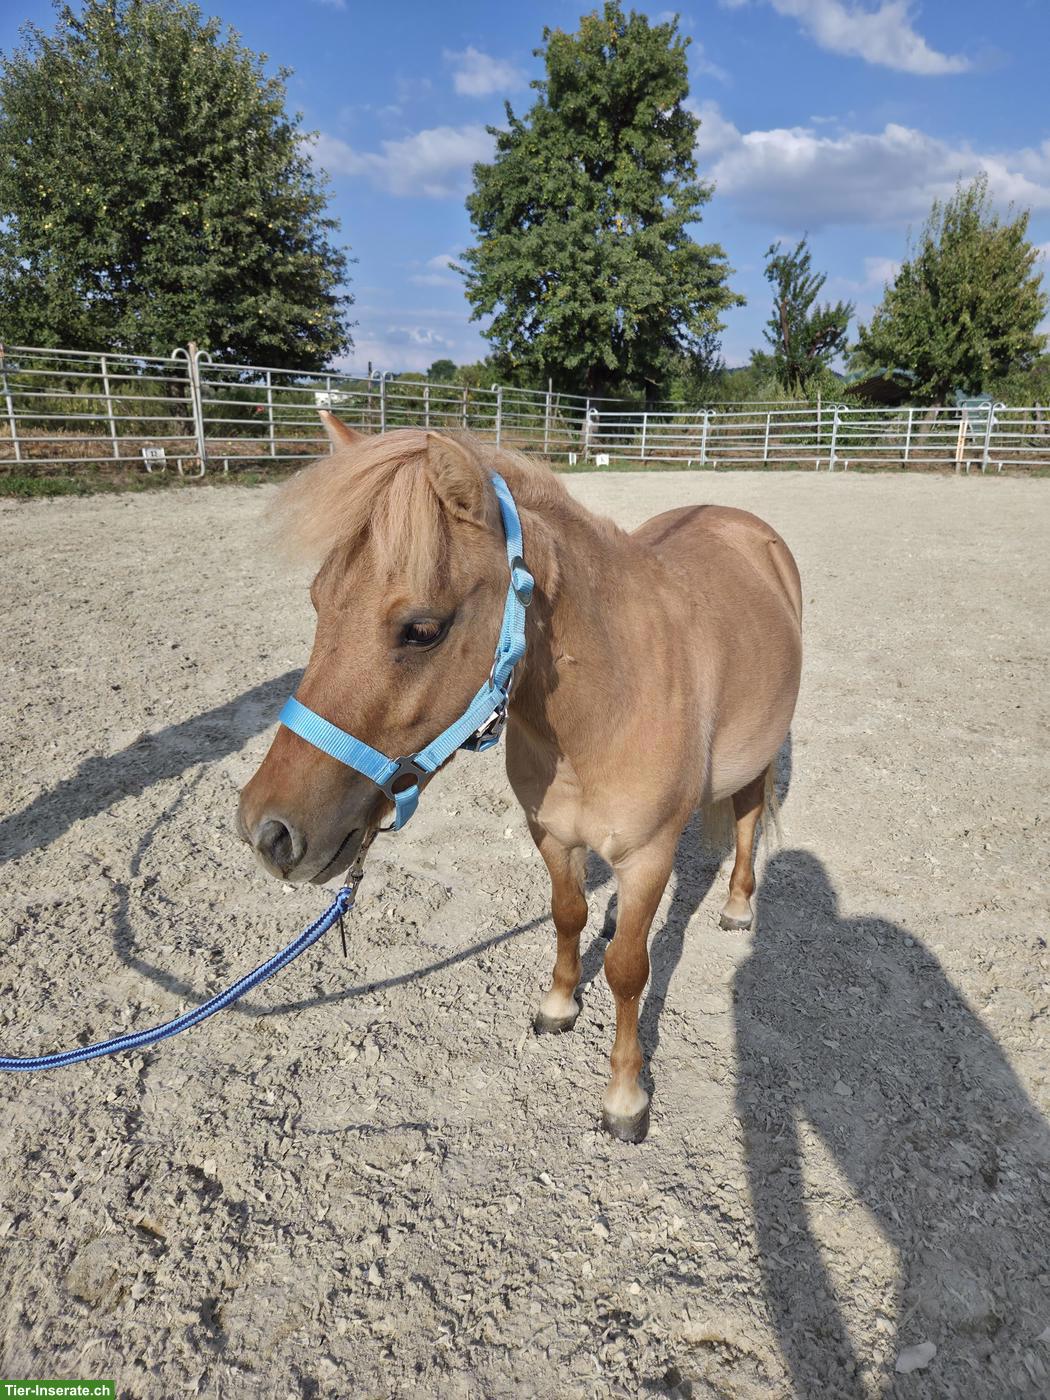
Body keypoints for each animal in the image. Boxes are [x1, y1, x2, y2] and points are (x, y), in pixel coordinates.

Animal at [238, 416, 803, 1142]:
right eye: (317, 602)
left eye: (422, 629)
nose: (267, 831)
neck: (610, 700)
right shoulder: (552, 835)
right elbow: (568, 917)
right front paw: (559, 1004)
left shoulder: (648, 857)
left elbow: (628, 970)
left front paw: (626, 1096)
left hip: (758, 757)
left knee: (749, 817)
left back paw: (736, 906)